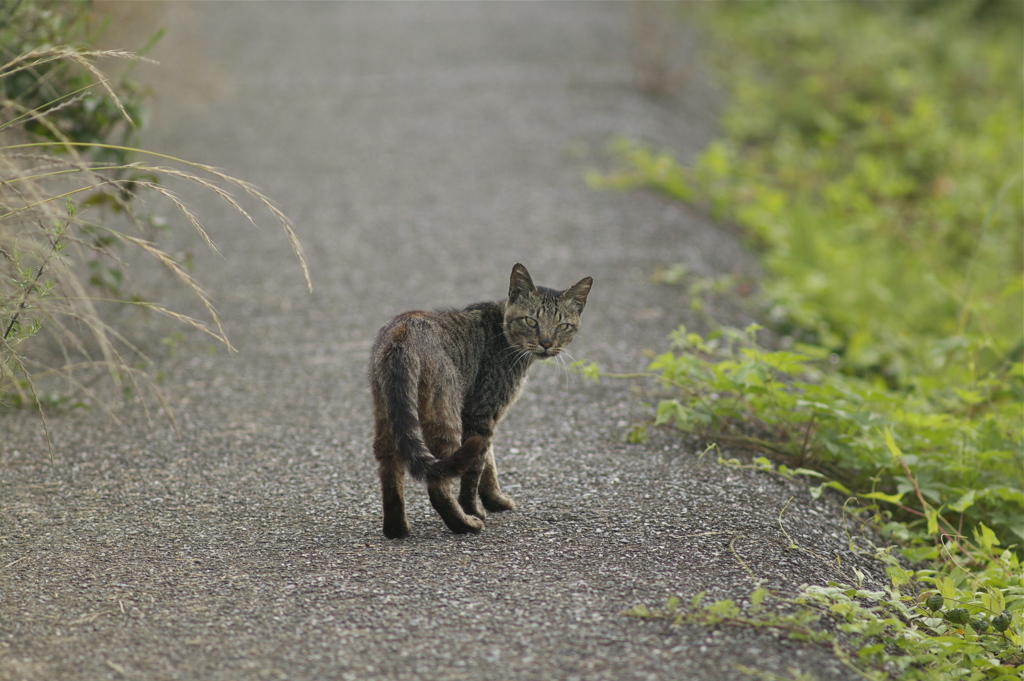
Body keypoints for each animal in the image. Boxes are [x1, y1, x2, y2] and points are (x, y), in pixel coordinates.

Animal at [368, 262, 593, 532]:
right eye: (531, 321)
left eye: (562, 326)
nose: (547, 343)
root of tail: (402, 334)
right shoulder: (481, 413)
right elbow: (475, 470)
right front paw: (474, 508)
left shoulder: (484, 418)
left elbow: (489, 462)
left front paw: (494, 500)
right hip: (445, 415)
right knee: (439, 480)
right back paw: (464, 523)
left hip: (388, 412)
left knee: (390, 467)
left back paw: (397, 530)